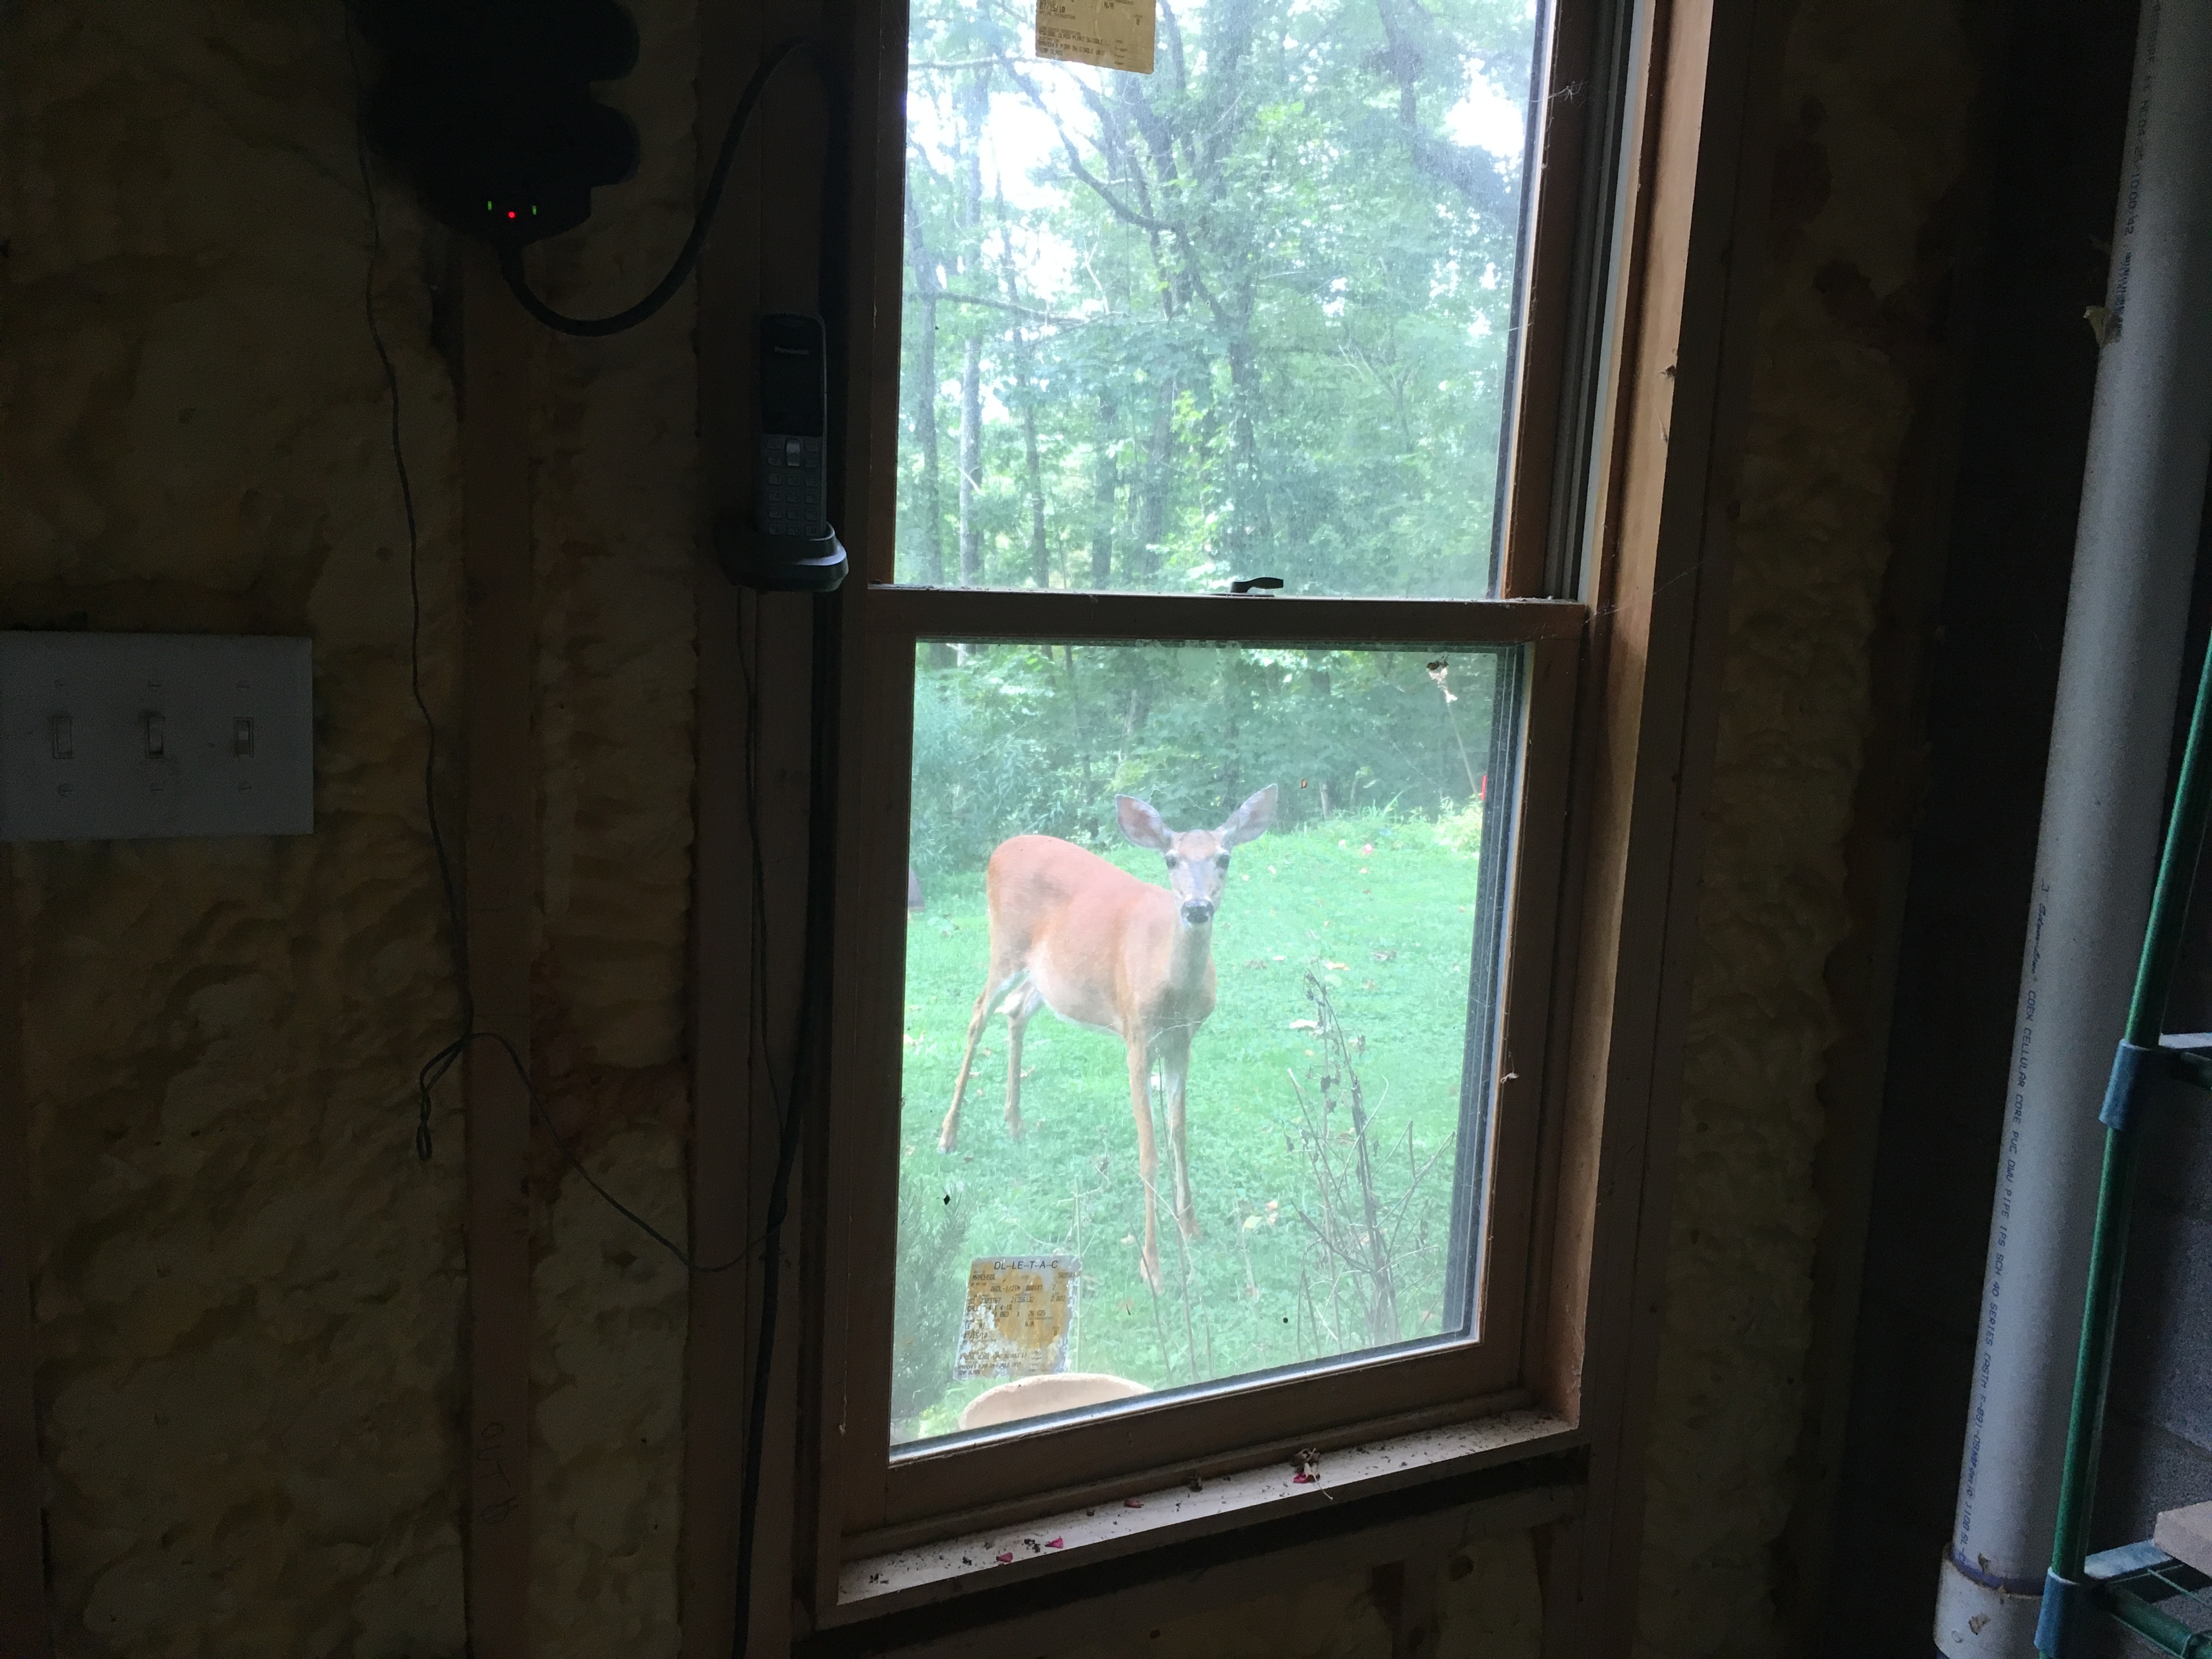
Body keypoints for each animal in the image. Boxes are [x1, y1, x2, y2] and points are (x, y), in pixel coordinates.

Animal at [939, 786, 1279, 1293]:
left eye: (1225, 857)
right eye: (1171, 859)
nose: (1197, 908)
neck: (1172, 988)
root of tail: (1001, 848)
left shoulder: (1182, 1041)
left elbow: (1179, 1134)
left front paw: (1192, 1228)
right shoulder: (1136, 1037)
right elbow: (1149, 1152)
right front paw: (1153, 1265)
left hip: (1048, 976)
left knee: (1015, 1010)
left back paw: (1015, 1123)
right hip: (1006, 946)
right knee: (979, 1014)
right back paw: (948, 1135)